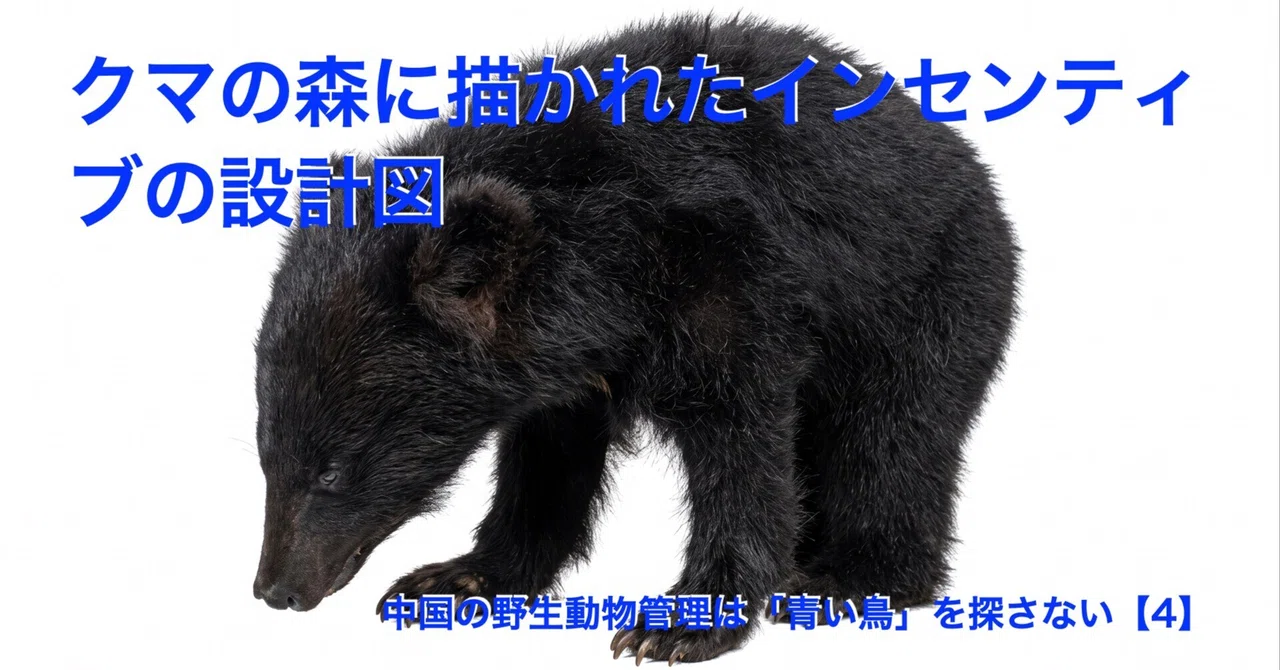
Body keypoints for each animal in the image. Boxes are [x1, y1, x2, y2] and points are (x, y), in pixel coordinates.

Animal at [251, 13, 1019, 664]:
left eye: (333, 469)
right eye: (266, 455)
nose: (277, 590)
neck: (606, 268)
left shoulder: (728, 275)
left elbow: (739, 437)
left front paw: (678, 623)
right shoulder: (567, 367)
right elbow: (548, 458)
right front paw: (453, 578)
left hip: (926, 294)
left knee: (893, 433)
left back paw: (853, 575)